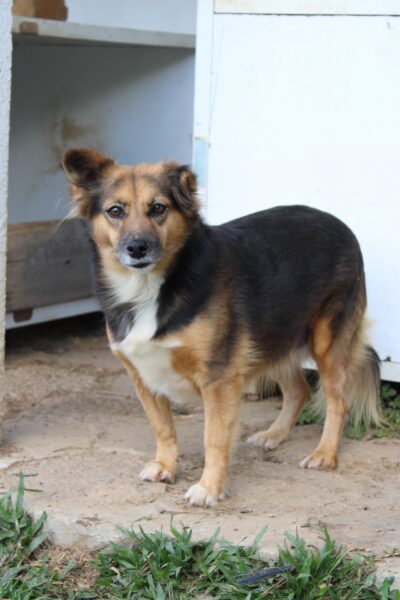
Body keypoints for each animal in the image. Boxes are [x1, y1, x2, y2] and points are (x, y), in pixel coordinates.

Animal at [62, 148, 382, 507]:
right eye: (115, 211)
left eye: (158, 208)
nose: (137, 248)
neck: (151, 286)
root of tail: (340, 224)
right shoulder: (143, 377)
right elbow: (163, 428)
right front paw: (165, 466)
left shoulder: (219, 378)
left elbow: (213, 439)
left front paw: (209, 488)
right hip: (270, 337)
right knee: (299, 389)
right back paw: (274, 434)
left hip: (325, 342)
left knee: (337, 401)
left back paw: (325, 454)